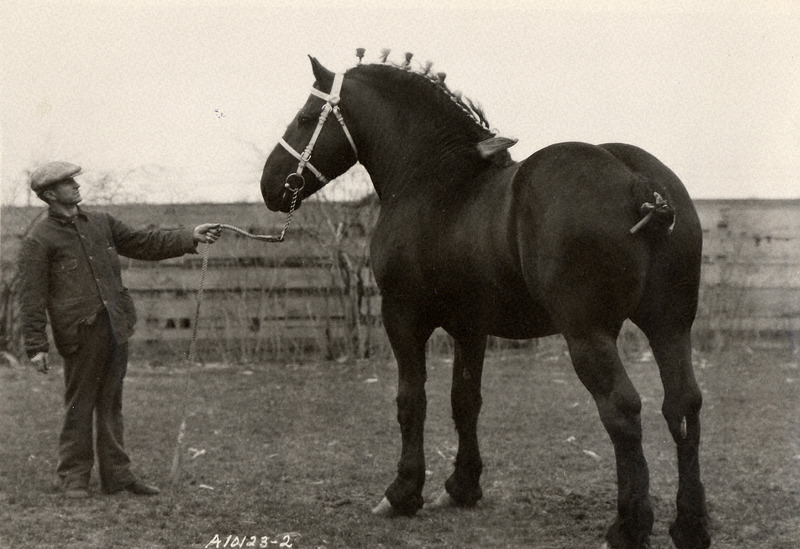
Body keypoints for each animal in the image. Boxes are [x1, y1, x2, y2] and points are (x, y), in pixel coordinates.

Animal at [259, 54, 710, 549]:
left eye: (306, 118)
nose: (270, 184)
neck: (431, 179)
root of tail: (638, 181)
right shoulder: (470, 328)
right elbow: (465, 400)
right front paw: (462, 486)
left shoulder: (402, 317)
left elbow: (411, 400)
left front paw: (403, 492)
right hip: (670, 325)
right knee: (683, 405)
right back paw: (690, 525)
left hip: (588, 335)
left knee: (623, 410)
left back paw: (629, 526)